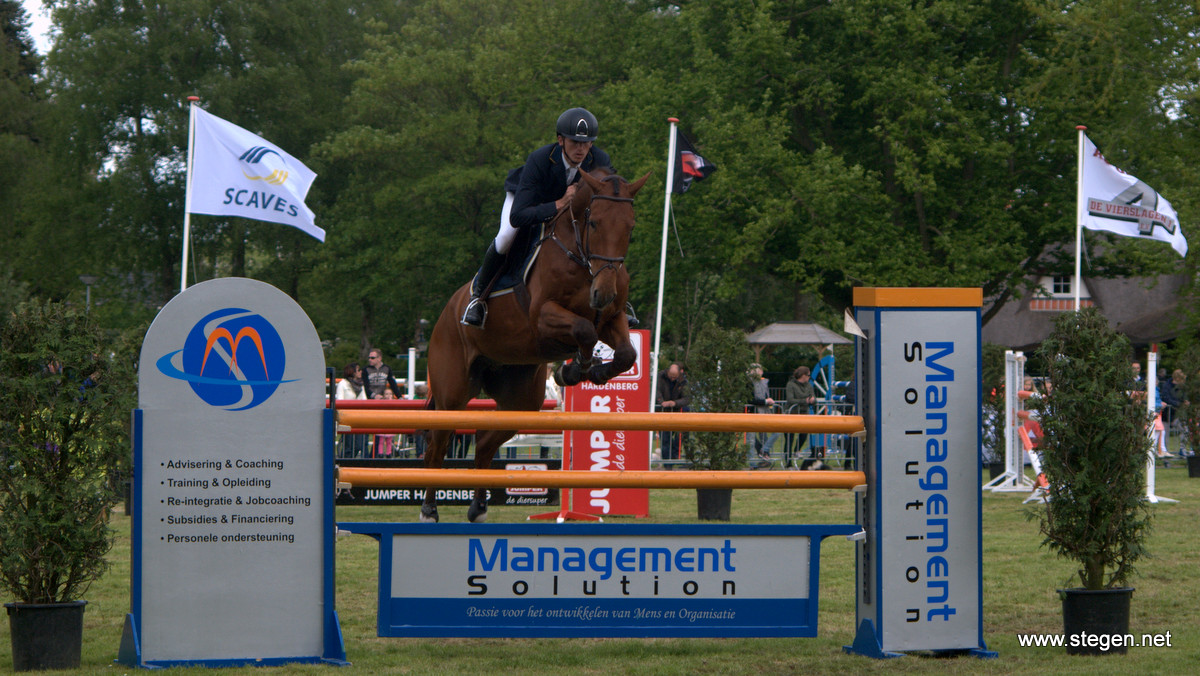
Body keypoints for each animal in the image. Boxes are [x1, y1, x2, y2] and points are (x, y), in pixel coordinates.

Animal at [420, 169, 652, 523]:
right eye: (595, 222)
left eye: (630, 225)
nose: (603, 294)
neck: (581, 258)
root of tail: (448, 310)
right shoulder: (543, 317)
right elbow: (584, 330)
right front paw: (575, 370)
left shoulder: (612, 319)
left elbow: (626, 353)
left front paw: (590, 372)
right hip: (452, 391)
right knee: (439, 443)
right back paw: (429, 510)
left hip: (522, 399)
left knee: (484, 441)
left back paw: (478, 508)